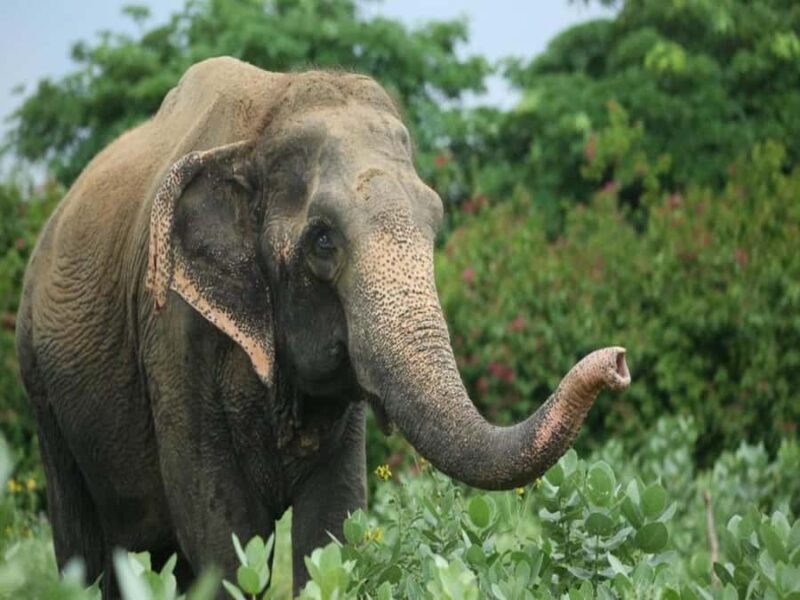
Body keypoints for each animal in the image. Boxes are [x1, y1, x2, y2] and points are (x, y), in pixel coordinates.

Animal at [15, 57, 630, 596]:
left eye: (436, 222)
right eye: (323, 240)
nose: (619, 362)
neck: (264, 122)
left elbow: (332, 525)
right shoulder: (172, 334)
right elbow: (222, 535)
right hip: (40, 387)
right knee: (84, 549)